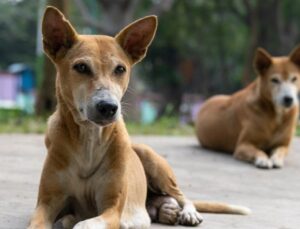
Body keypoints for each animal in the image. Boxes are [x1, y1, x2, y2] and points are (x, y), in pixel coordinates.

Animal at [28, 7, 250, 229]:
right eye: (81, 67)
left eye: (120, 69)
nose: (108, 107)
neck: (89, 139)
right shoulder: (46, 203)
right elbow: (41, 220)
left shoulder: (112, 209)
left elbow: (89, 223)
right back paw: (164, 210)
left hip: (151, 159)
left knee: (180, 195)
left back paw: (186, 211)